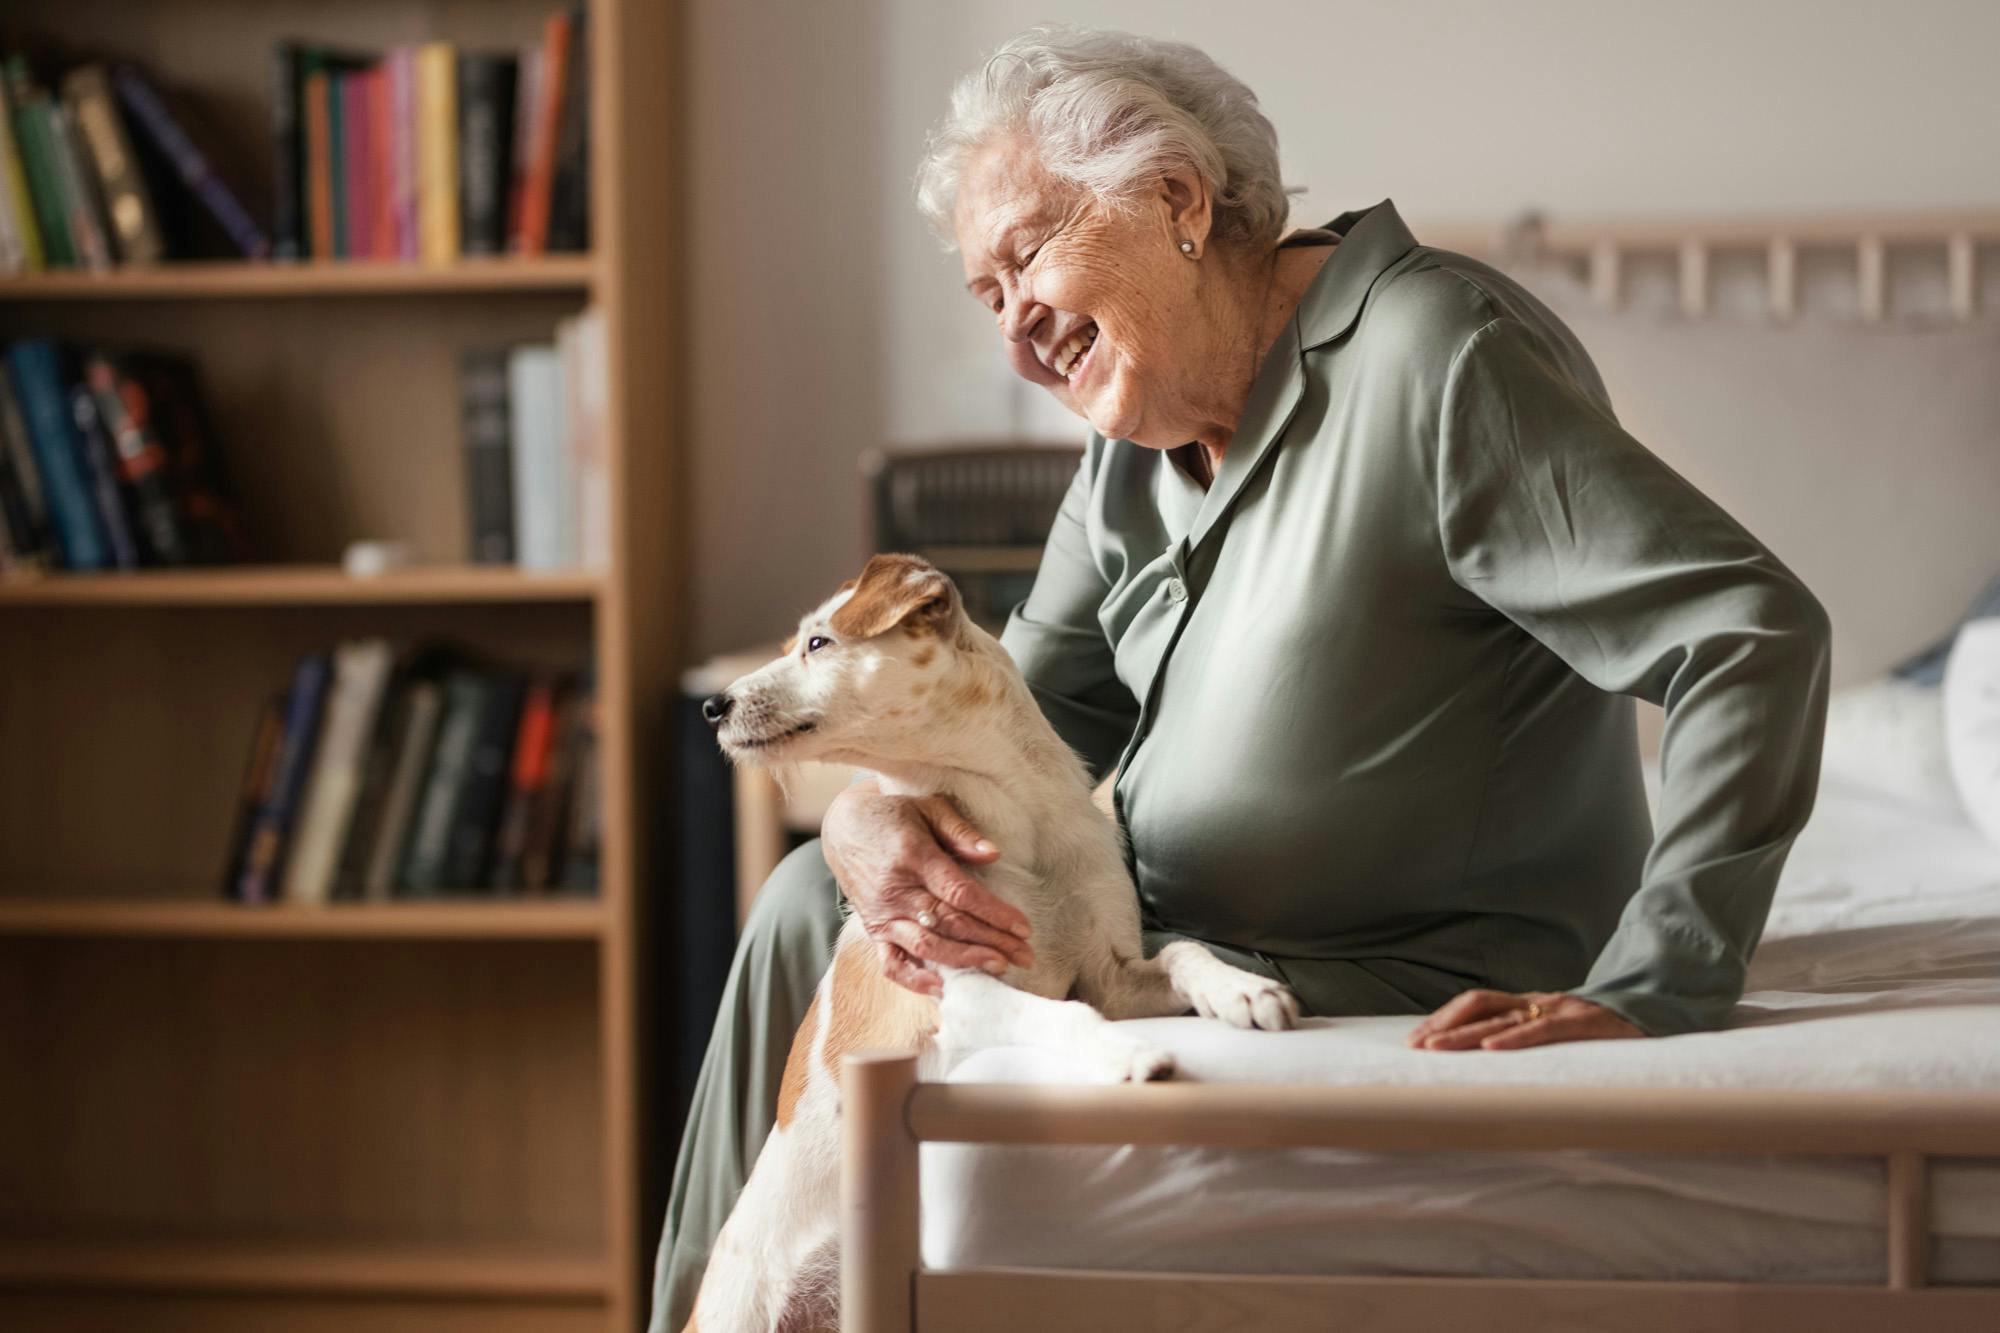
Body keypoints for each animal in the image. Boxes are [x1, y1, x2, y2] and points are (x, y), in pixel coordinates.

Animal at [684, 552, 1296, 1328]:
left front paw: (1242, 989)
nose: (712, 706)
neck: (1012, 821)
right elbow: (1070, 1015)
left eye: (819, 643)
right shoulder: (963, 991)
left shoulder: (1115, 975)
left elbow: (1184, 954)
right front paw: (1129, 1053)